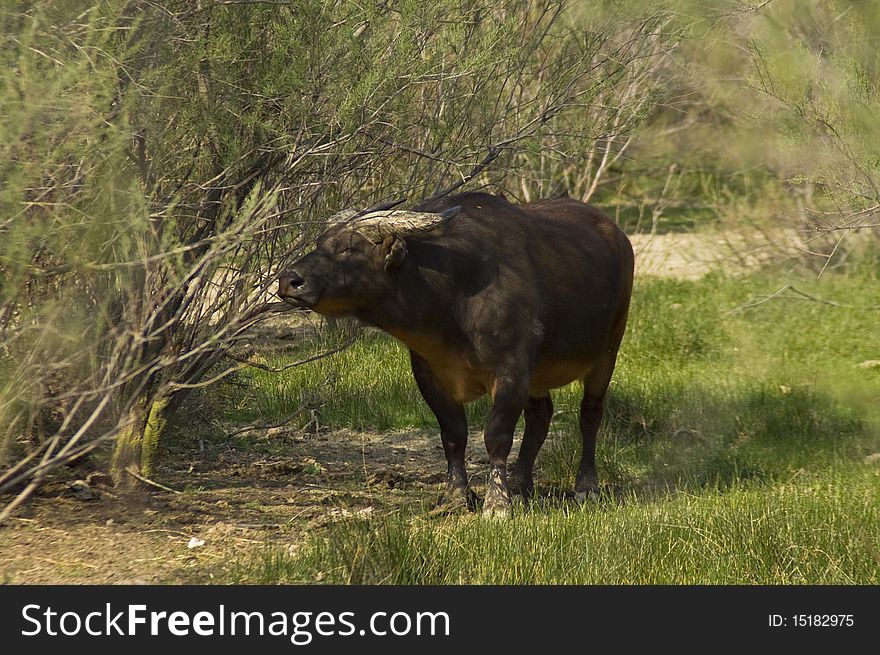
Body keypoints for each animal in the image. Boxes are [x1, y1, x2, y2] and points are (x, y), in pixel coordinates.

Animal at [280, 192, 632, 516]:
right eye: (320, 242)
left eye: (350, 248)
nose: (289, 280)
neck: (451, 301)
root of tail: (618, 235)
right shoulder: (429, 374)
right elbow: (453, 435)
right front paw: (455, 496)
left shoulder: (512, 371)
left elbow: (496, 436)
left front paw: (497, 502)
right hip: (539, 376)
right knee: (540, 417)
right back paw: (521, 486)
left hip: (608, 351)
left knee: (590, 415)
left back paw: (585, 486)